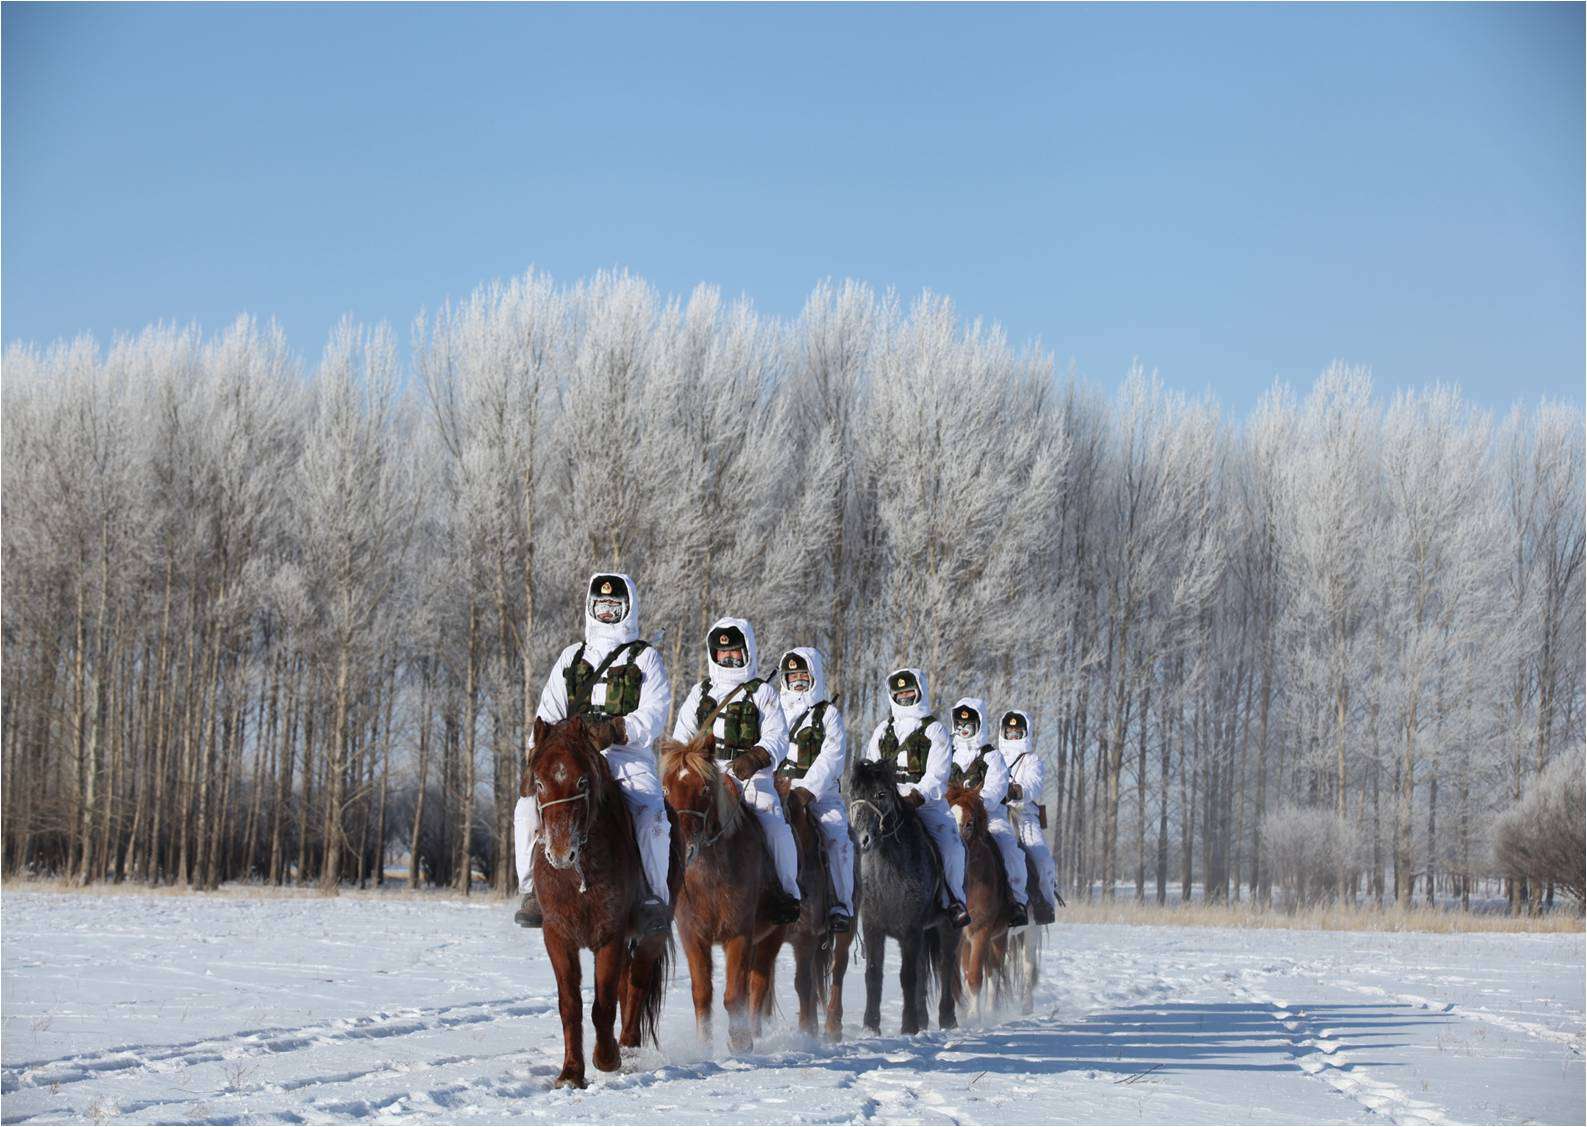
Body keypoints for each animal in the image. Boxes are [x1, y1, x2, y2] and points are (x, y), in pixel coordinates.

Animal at [523, 720, 679, 1092]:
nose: (560, 852)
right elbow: (571, 1005)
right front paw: (570, 1072)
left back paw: (628, 1047)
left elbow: (604, 1003)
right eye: (539, 782)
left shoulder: (609, 935)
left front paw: (607, 1059)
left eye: (582, 781)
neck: (579, 874)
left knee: (637, 982)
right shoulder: (558, 937)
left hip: (650, 934)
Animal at [653, 733, 783, 1060]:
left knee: (757, 985)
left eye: (704, 789)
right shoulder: (693, 935)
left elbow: (734, 994)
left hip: (773, 935)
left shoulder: (738, 934)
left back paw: (753, 1035)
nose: (684, 848)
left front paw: (739, 1042)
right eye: (666, 789)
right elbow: (703, 993)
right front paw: (704, 1047)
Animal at [850, 755, 958, 1034]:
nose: (862, 839)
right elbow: (873, 974)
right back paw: (923, 1019)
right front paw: (871, 1026)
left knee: (946, 966)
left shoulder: (910, 930)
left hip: (948, 927)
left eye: (881, 794)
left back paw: (947, 1019)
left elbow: (907, 976)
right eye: (854, 794)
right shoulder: (874, 928)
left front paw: (908, 1027)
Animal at [939, 787, 1015, 1022]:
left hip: (999, 937)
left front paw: (974, 1016)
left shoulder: (981, 931)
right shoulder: (960, 936)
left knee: (993, 971)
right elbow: (959, 975)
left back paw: (990, 1011)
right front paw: (962, 1013)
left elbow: (974, 975)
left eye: (969, 823)